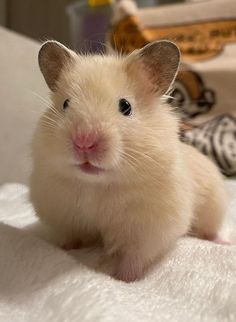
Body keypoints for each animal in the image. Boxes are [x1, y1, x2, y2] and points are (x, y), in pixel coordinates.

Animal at [29, 39, 227, 282]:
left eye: (125, 106)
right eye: (65, 104)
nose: (84, 142)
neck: (97, 184)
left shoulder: (151, 227)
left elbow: (135, 256)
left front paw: (124, 279)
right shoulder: (60, 212)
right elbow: (69, 238)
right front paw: (62, 251)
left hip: (214, 206)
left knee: (211, 230)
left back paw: (223, 242)